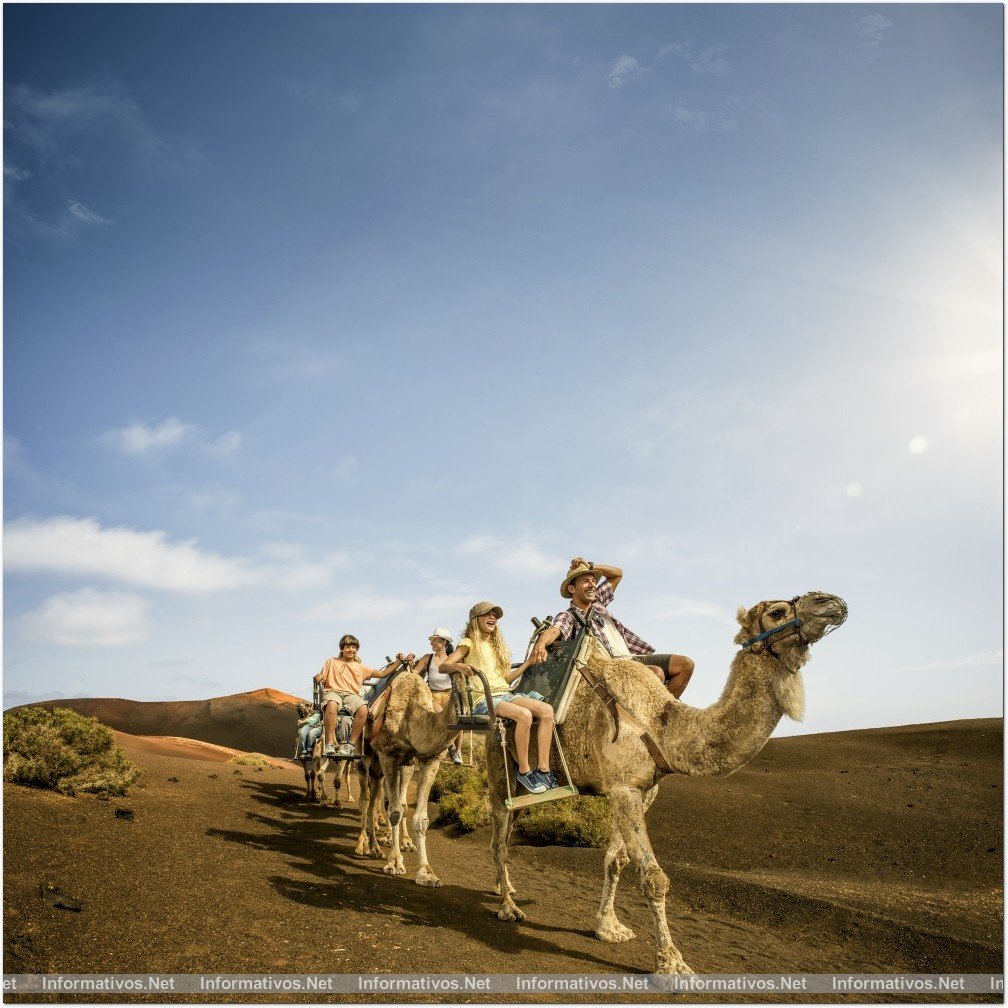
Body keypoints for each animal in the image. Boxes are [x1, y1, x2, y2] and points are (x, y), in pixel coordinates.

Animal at [483, 588, 846, 975]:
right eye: (777, 612)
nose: (832, 602)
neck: (660, 725)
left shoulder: (642, 791)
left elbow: (616, 860)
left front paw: (609, 927)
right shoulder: (624, 789)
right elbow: (654, 879)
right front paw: (672, 963)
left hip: (524, 789)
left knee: (506, 833)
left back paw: (505, 889)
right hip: (498, 765)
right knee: (499, 839)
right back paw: (508, 909)